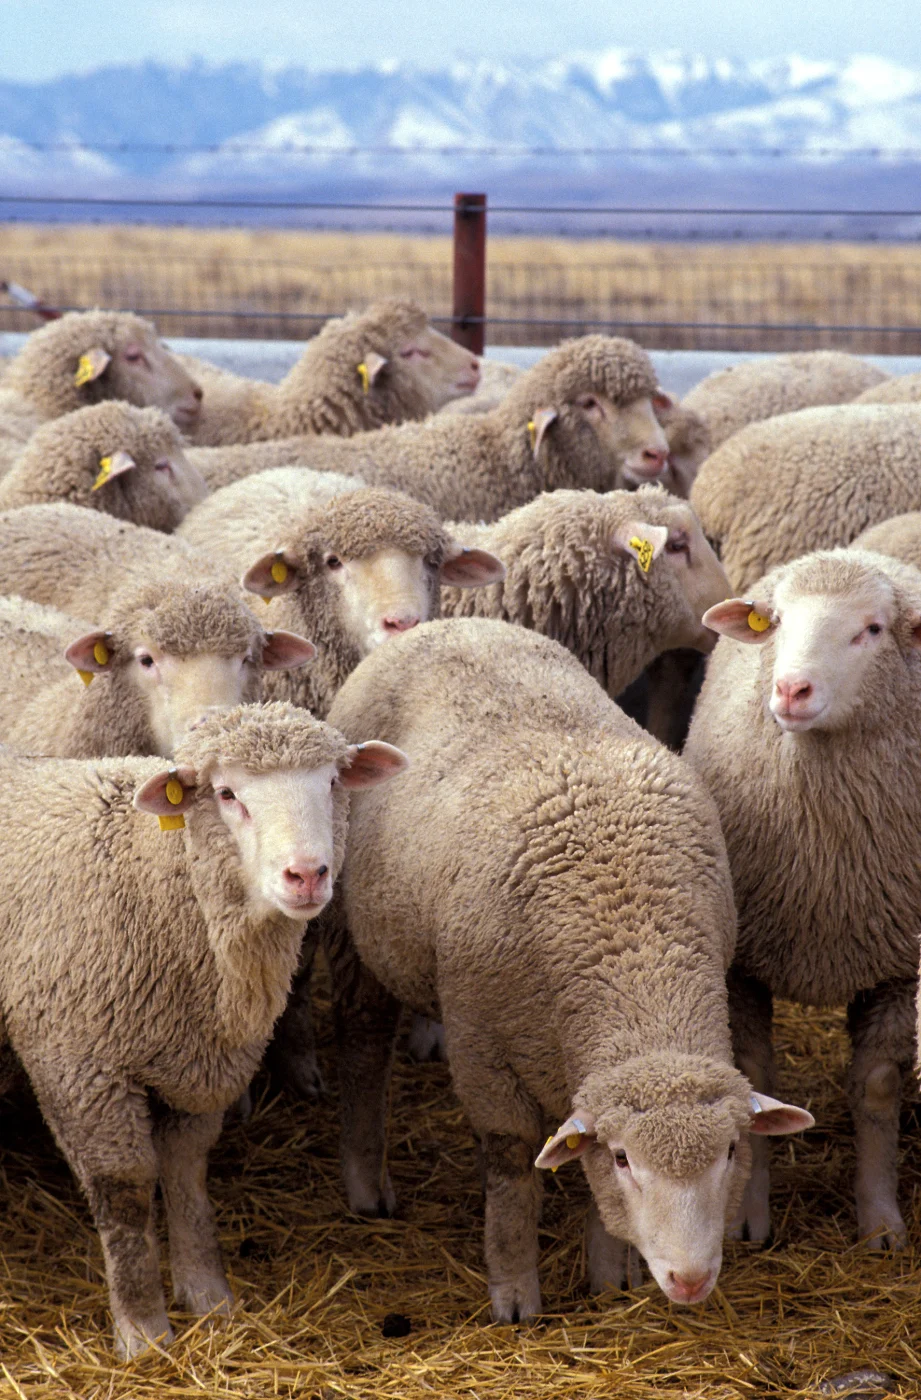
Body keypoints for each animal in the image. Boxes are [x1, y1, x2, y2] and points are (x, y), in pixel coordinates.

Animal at [0, 701, 407, 1356]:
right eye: (226, 793)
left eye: (332, 783)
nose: (307, 875)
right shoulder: (78, 1063)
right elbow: (125, 1191)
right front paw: (143, 1329)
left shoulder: (198, 1061)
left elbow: (187, 1175)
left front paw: (209, 1298)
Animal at [316, 618, 812, 1320]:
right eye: (627, 1159)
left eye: (732, 1151)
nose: (690, 1281)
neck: (636, 957)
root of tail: (448, 623)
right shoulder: (484, 1055)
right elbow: (511, 1173)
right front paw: (514, 1293)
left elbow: (583, 1170)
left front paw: (609, 1277)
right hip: (352, 933)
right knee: (362, 1044)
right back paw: (365, 1182)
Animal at [684, 548, 921, 1251]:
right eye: (779, 620)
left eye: (872, 629)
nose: (792, 691)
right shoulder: (742, 964)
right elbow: (753, 1078)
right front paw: (744, 1217)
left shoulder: (897, 963)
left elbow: (877, 1088)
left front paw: (881, 1222)